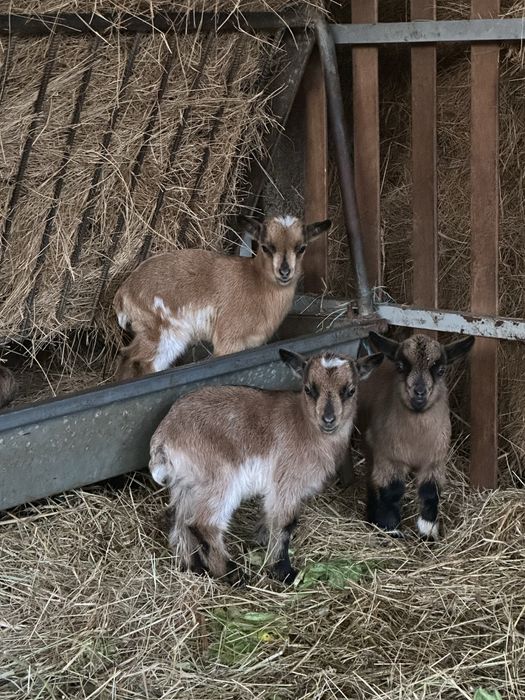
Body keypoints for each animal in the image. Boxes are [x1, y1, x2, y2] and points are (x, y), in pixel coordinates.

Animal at [113, 215, 331, 380]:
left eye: (301, 248)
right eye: (265, 247)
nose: (284, 272)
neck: (256, 282)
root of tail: (123, 293)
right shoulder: (228, 341)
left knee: (127, 356)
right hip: (165, 334)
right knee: (146, 364)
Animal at [149, 347, 384, 583]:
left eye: (351, 390)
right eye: (309, 389)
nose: (328, 419)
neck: (305, 425)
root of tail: (163, 437)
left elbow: (270, 519)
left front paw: (262, 541)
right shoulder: (287, 483)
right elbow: (284, 524)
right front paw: (283, 571)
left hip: (187, 483)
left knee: (178, 520)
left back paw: (193, 566)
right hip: (220, 479)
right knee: (202, 523)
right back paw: (233, 573)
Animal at [357, 331, 474, 541]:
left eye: (441, 370)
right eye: (400, 366)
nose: (419, 393)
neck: (416, 441)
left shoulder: (435, 461)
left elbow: (430, 494)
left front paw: (428, 532)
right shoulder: (389, 458)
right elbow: (392, 491)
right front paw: (391, 529)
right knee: (371, 480)